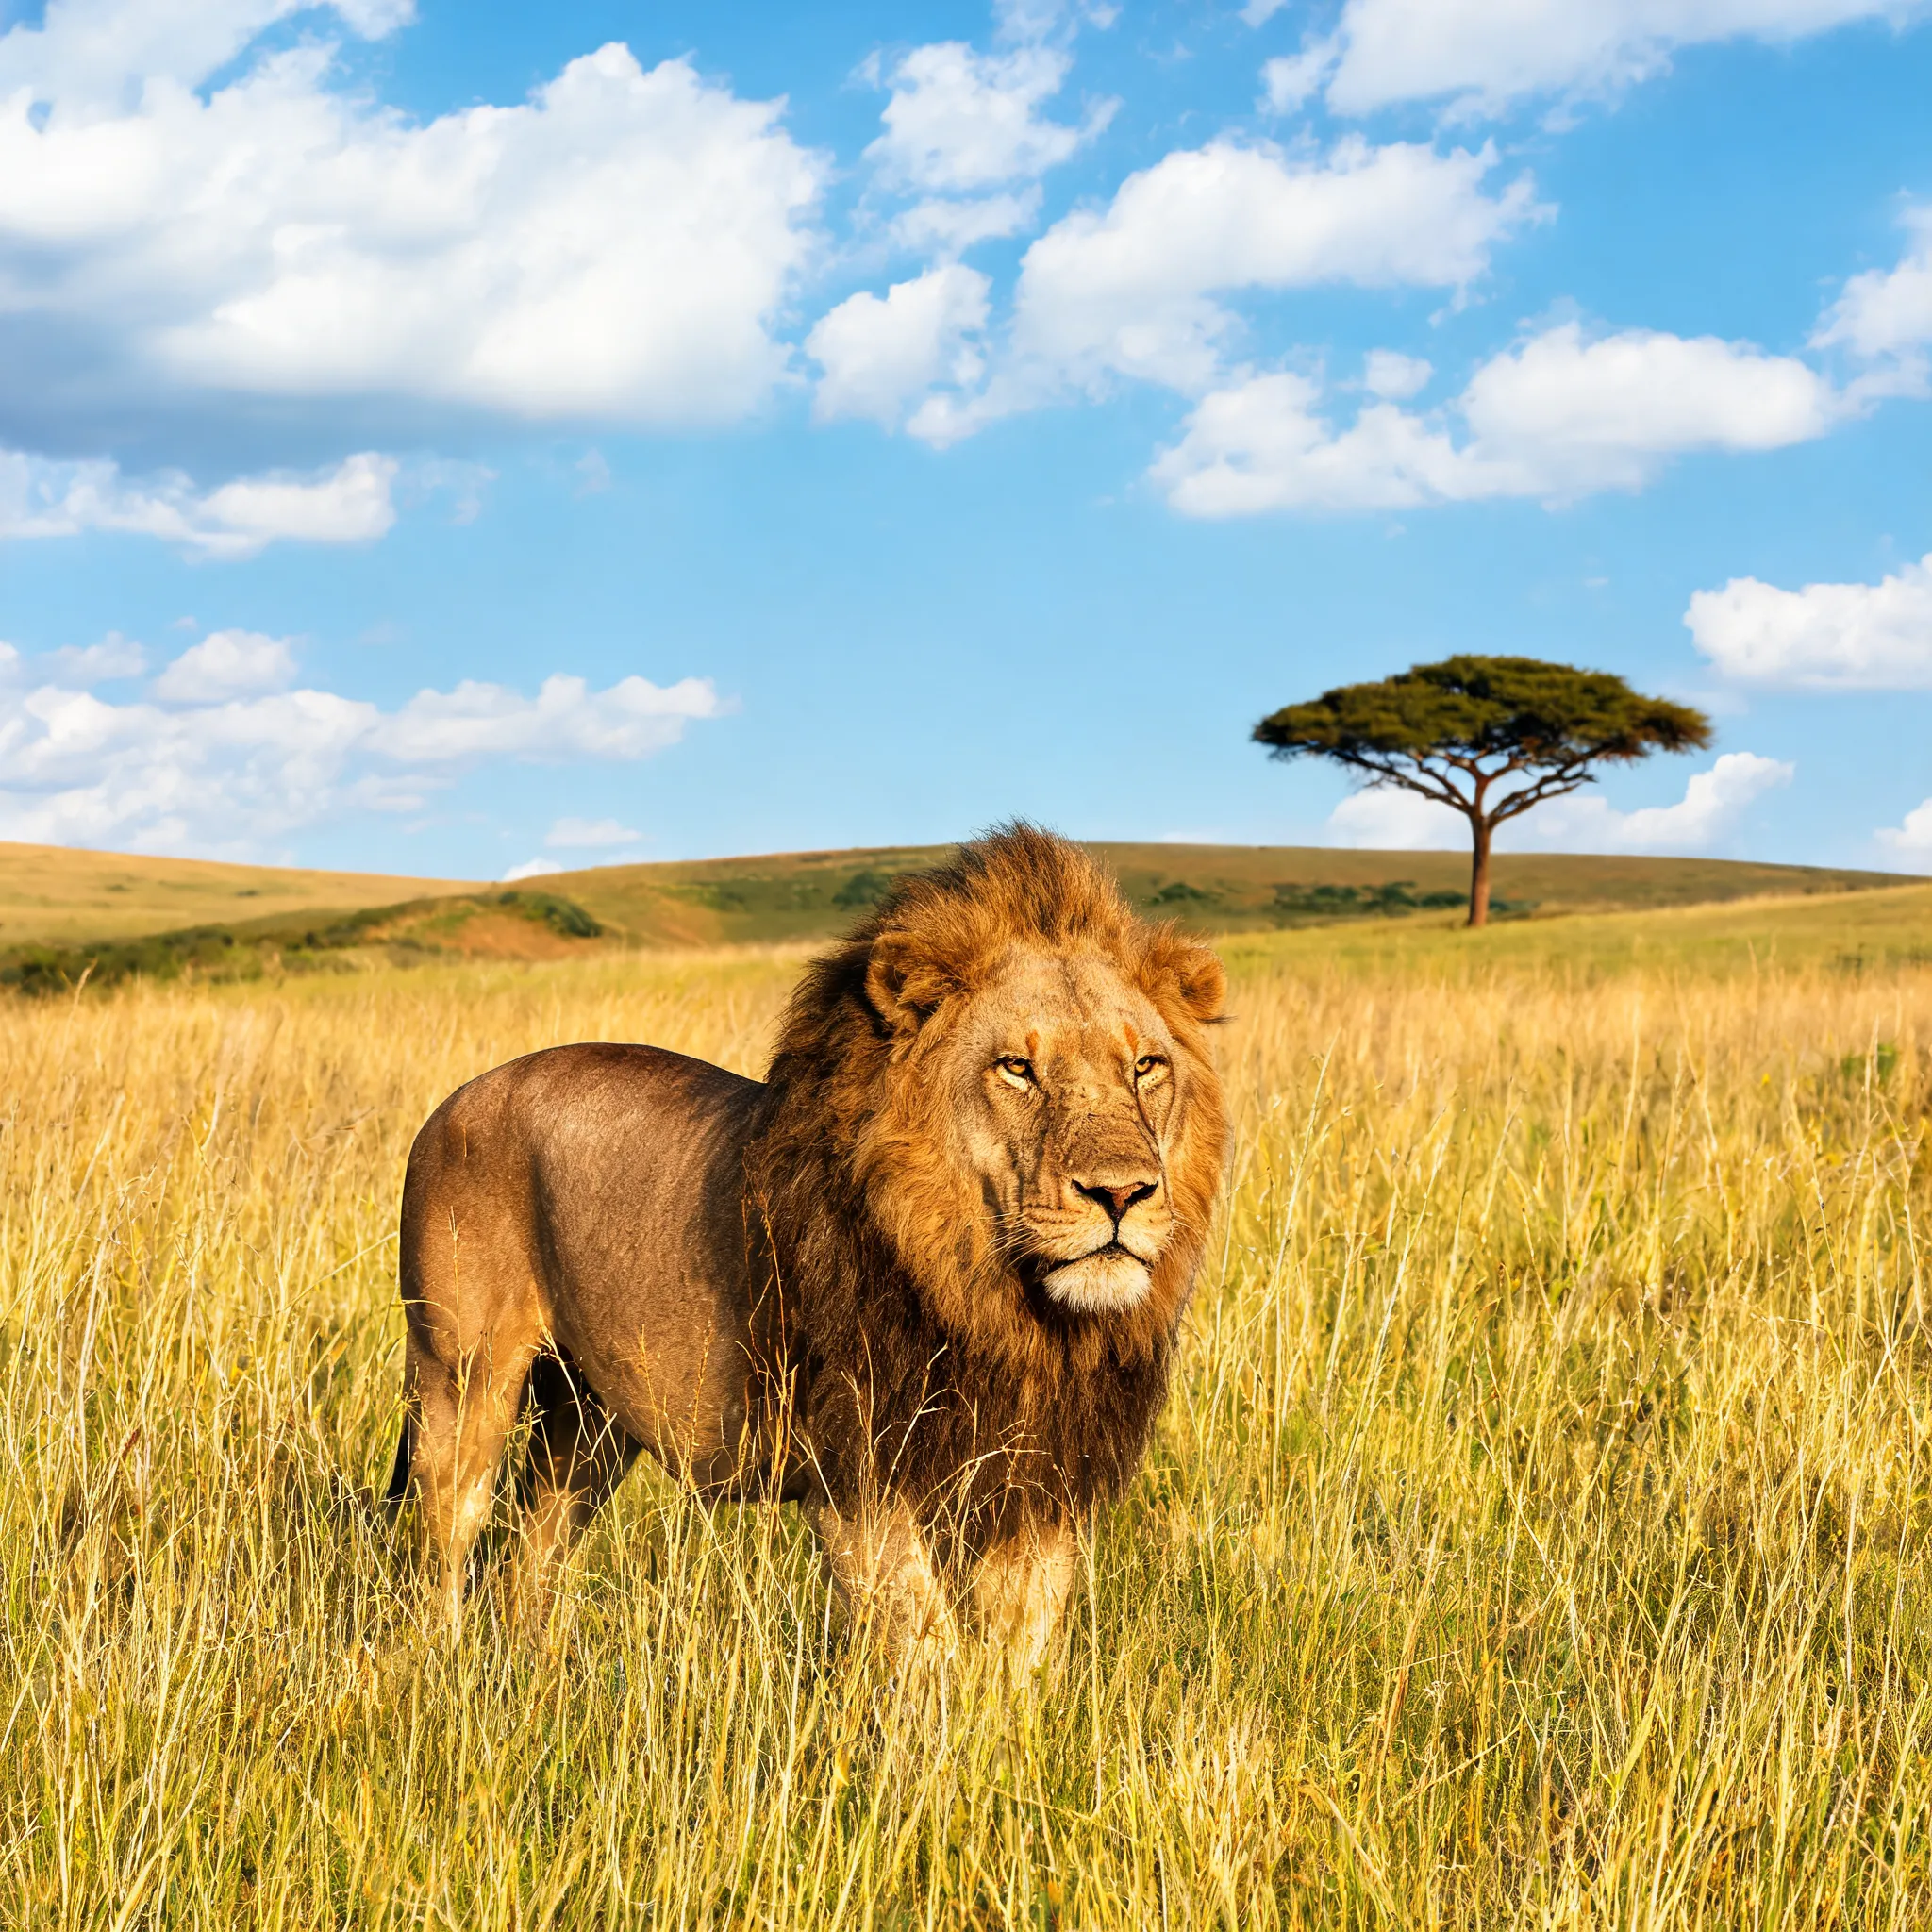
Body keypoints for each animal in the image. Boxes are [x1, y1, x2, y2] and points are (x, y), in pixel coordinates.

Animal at [385, 825, 1228, 1668]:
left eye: (1145, 1066)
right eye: (1016, 1068)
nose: (1122, 1193)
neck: (1003, 1308)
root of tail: (453, 1100)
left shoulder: (1037, 1484)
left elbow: (1018, 1652)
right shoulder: (859, 1474)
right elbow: (928, 1647)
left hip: (588, 1419)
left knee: (533, 1549)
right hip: (459, 1374)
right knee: (447, 1535)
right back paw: (444, 1665)